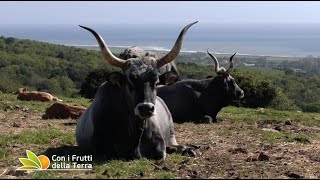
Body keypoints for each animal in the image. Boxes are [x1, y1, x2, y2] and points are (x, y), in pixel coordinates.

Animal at [76, 21, 199, 160]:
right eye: (130, 82)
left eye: (156, 82)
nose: (146, 108)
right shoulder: (99, 147)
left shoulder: (159, 141)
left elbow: (161, 152)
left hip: (171, 130)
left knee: (173, 144)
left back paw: (187, 149)